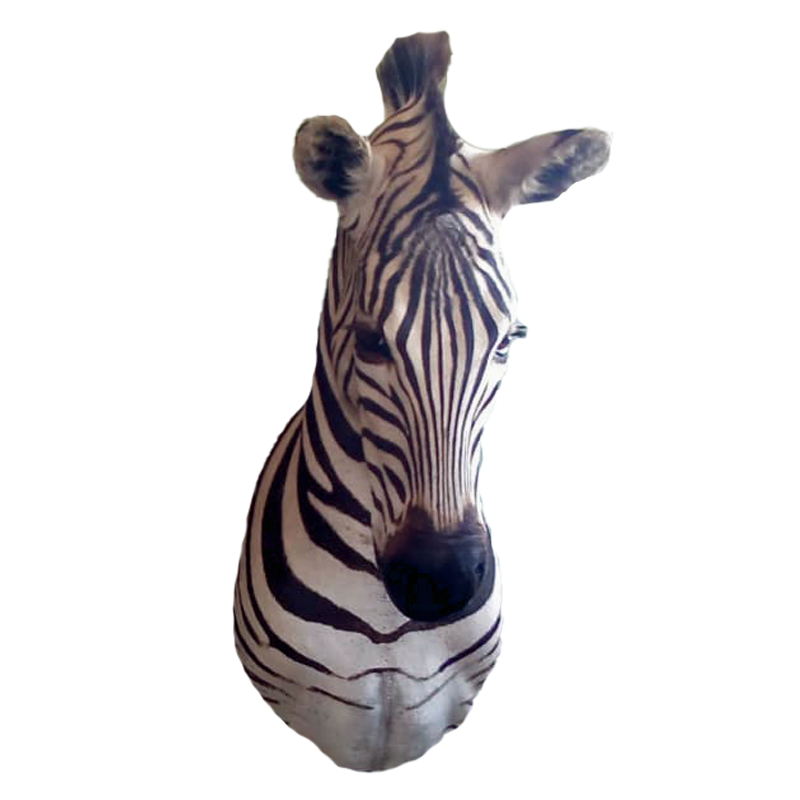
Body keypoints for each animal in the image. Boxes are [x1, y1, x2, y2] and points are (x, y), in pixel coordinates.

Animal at [232, 31, 611, 772]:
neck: (388, 623)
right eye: (370, 341)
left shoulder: (429, 718)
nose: (444, 582)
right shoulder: (318, 720)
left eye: (505, 341)